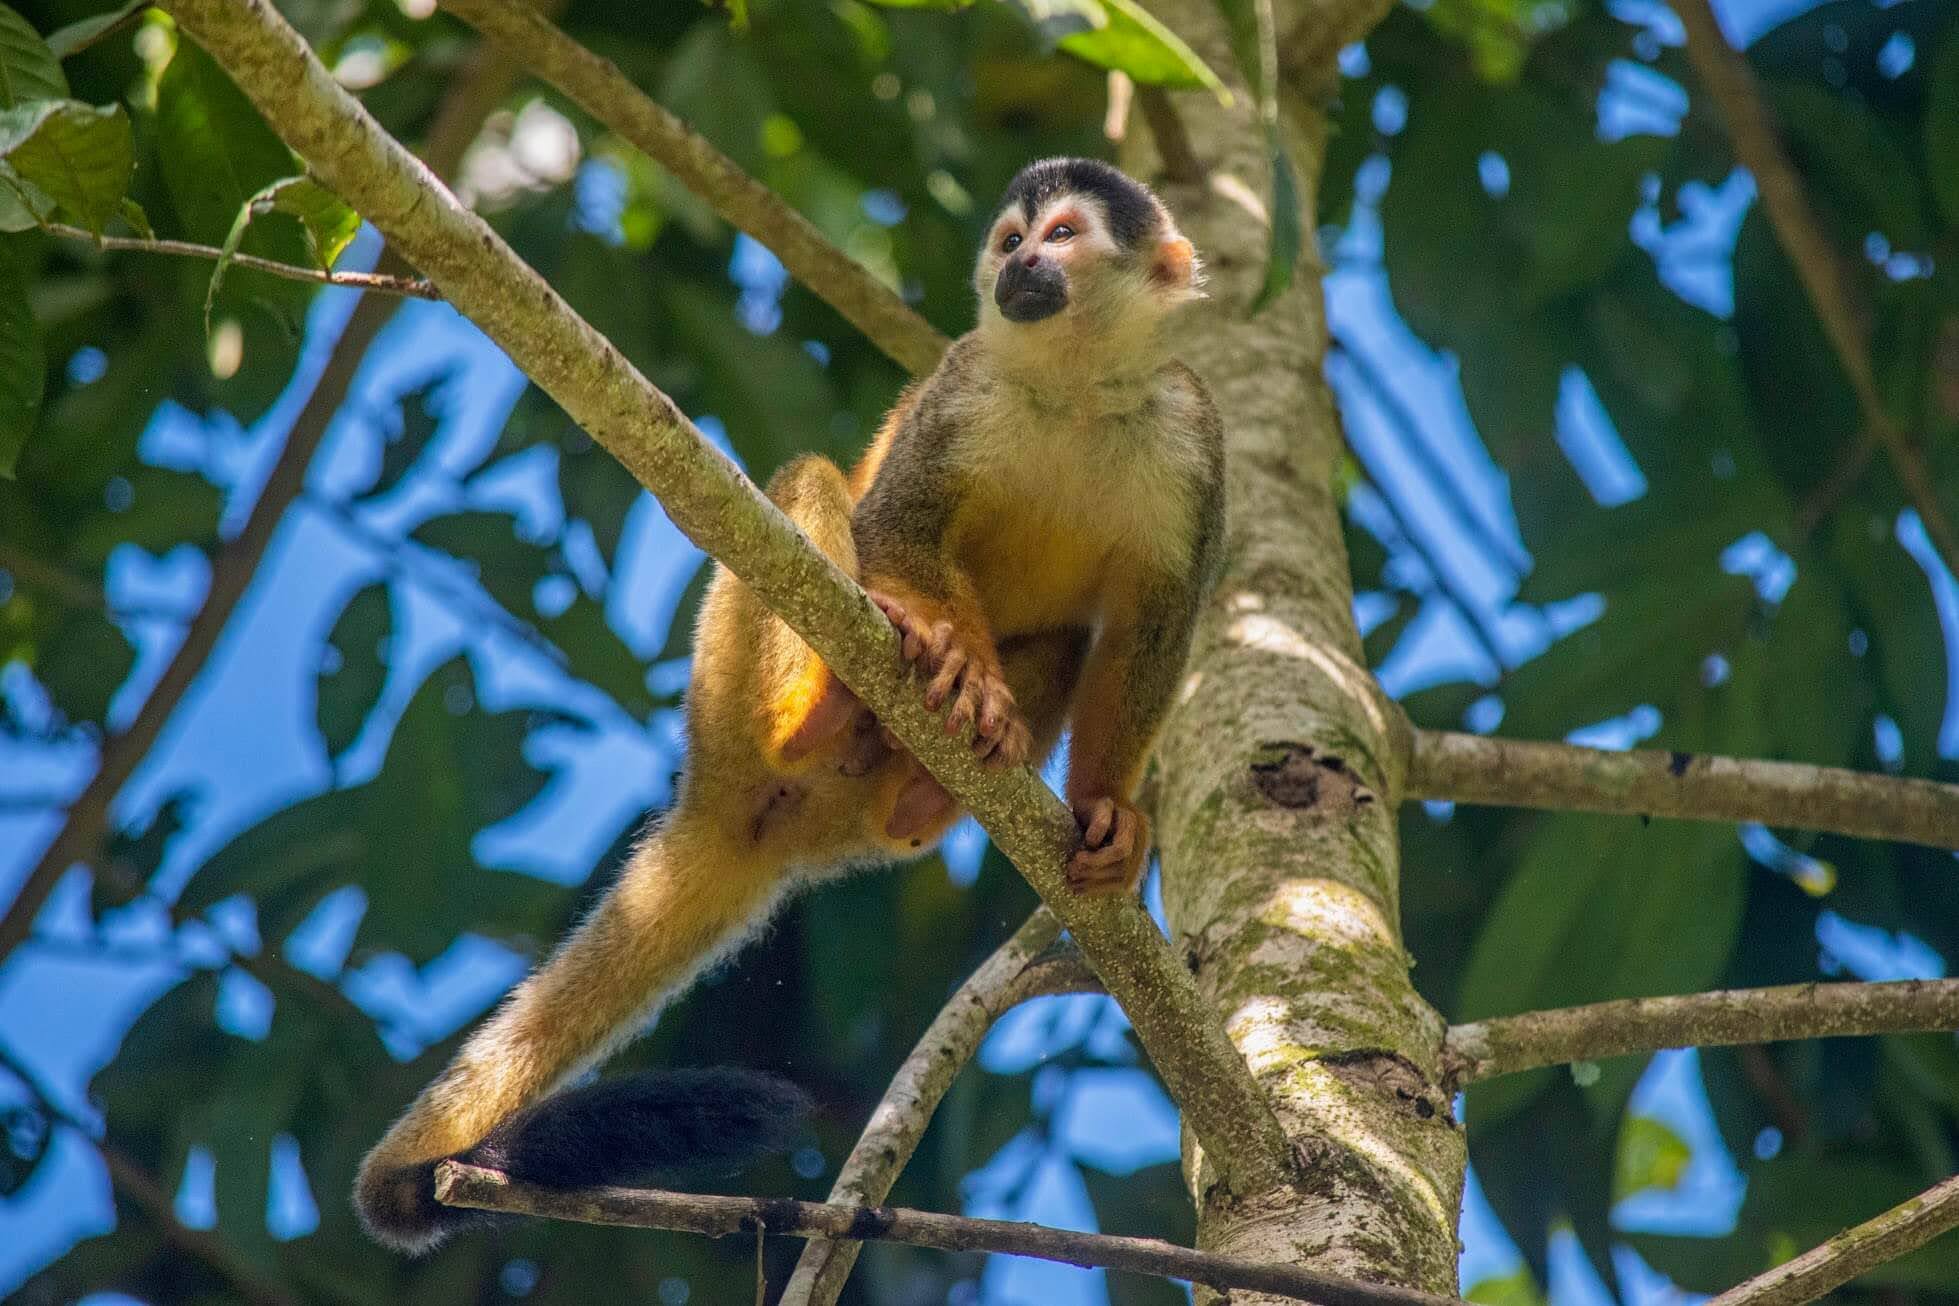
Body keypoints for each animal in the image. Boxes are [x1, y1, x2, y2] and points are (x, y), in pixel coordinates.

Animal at [350, 158, 1206, 1253]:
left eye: (1060, 235)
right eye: (1011, 241)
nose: (1020, 269)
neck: (1076, 382)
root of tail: (725, 809)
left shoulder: (1192, 434)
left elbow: (1154, 625)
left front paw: (1110, 810)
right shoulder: (964, 384)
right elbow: (894, 526)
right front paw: (957, 661)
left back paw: (918, 794)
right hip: (721, 699)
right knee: (812, 487)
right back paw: (817, 715)